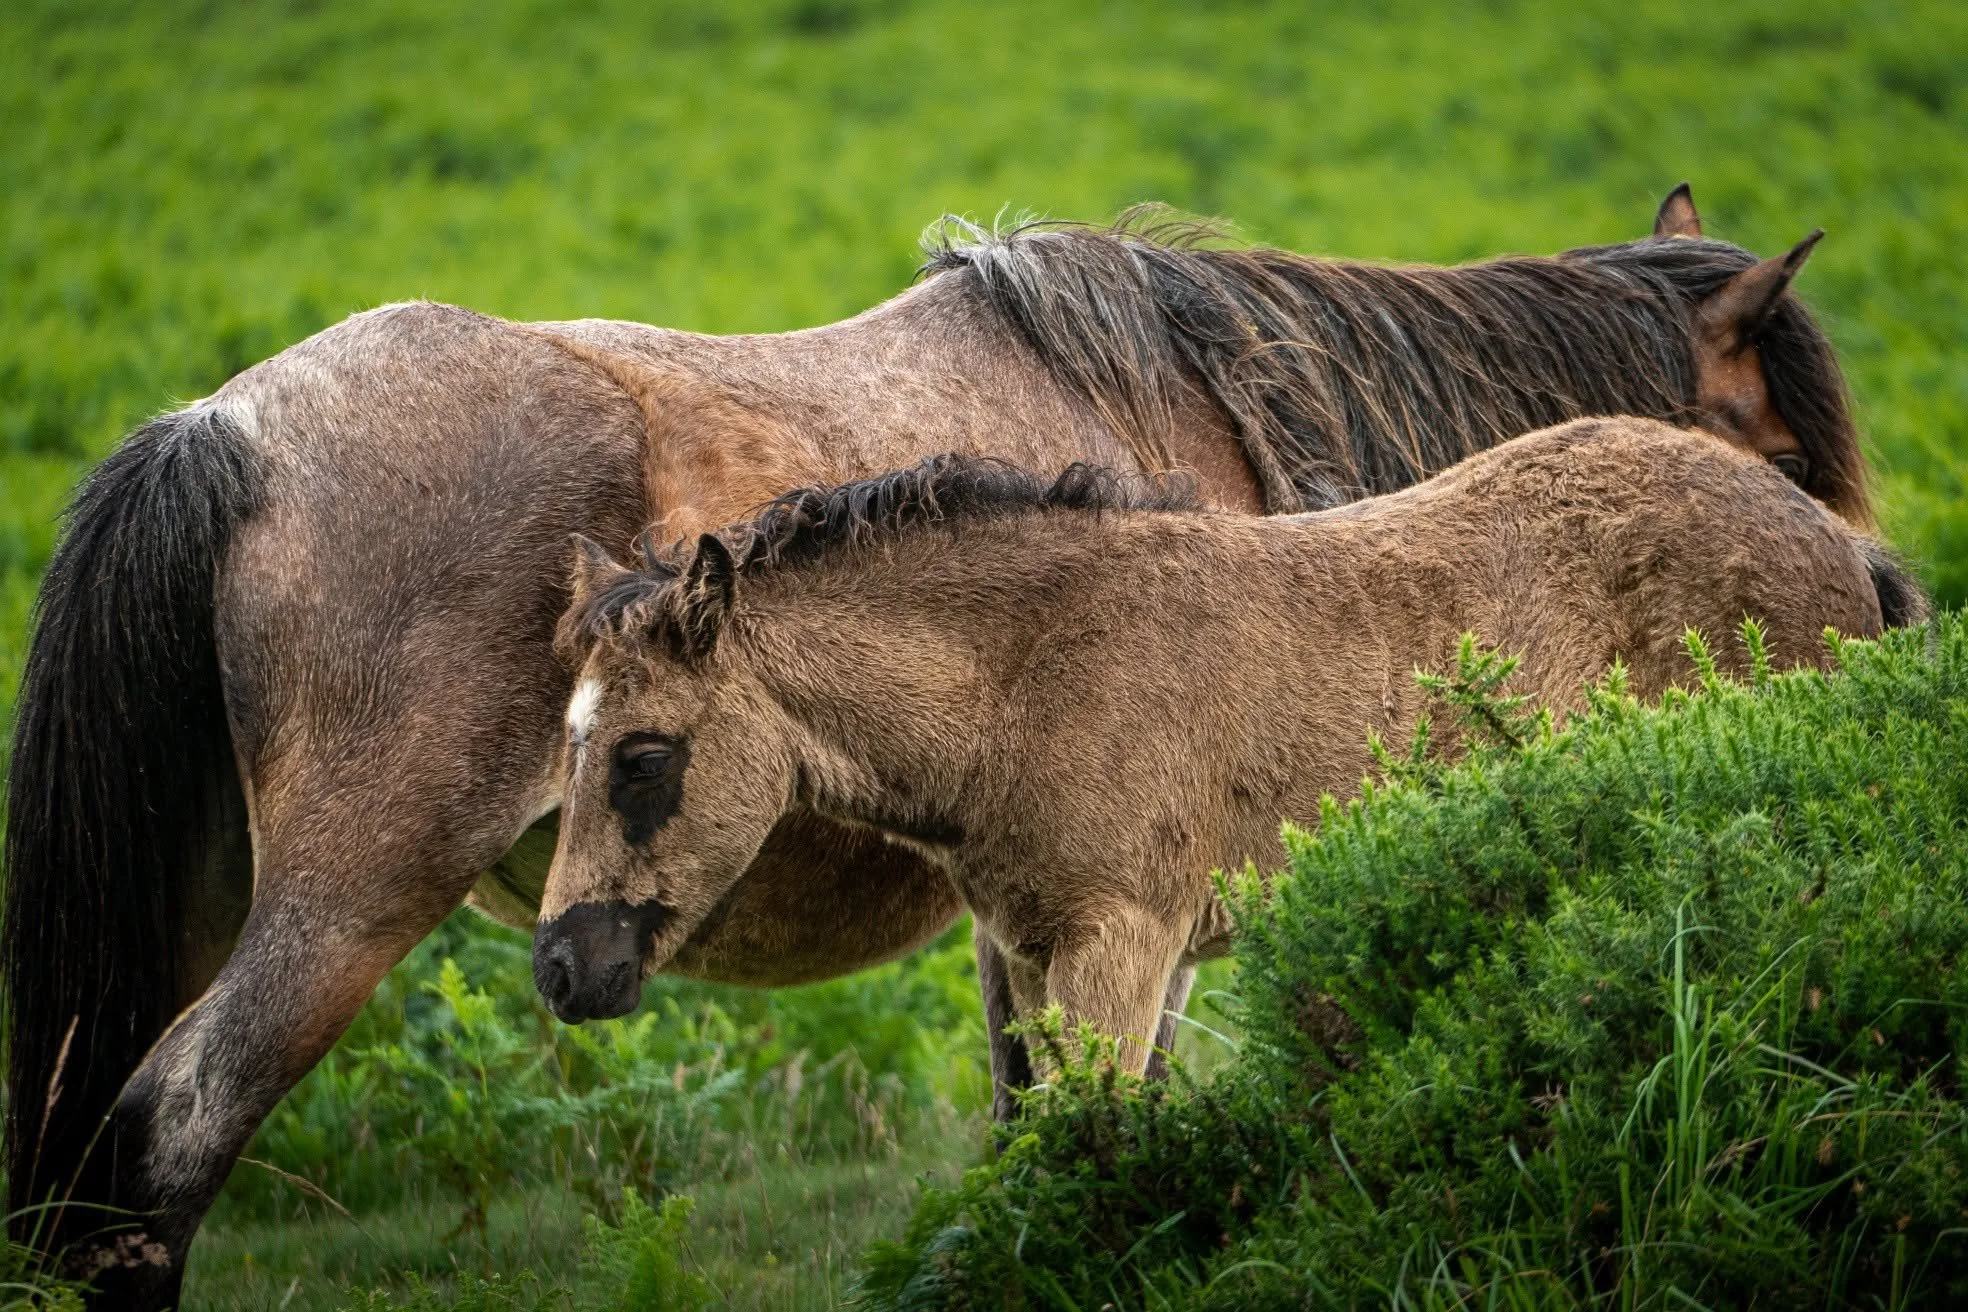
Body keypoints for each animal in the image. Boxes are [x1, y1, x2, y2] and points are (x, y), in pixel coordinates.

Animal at [538, 420, 1922, 1077]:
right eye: (570, 746)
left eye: (644, 757)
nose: (559, 969)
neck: (1030, 677)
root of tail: (1838, 539)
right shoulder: (1039, 953)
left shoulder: (1122, 943)